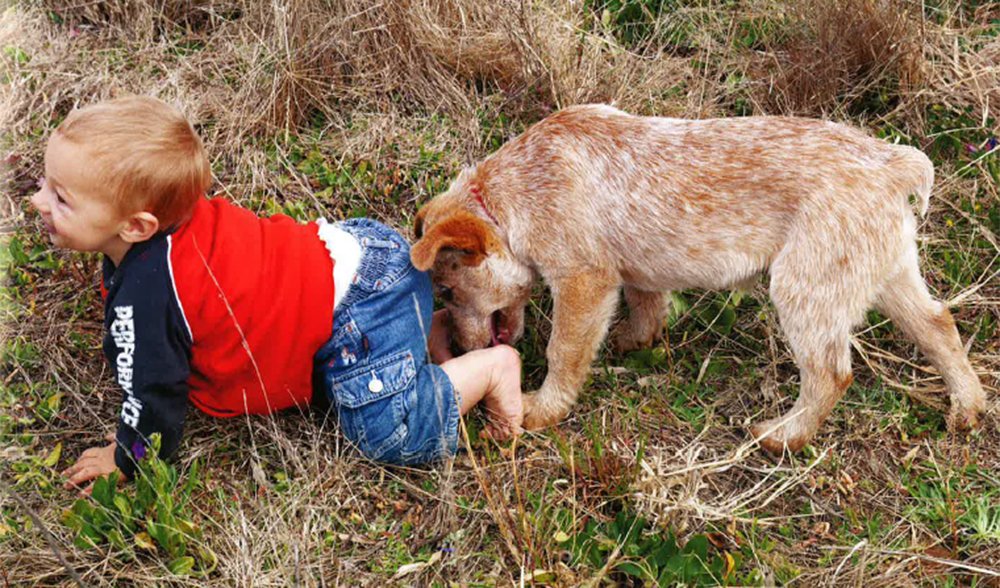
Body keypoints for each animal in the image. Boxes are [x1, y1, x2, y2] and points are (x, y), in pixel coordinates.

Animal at [408, 104, 984, 450]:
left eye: (448, 290)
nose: (458, 348)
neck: (511, 194)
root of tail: (891, 162)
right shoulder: (633, 270)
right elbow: (646, 304)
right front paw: (636, 340)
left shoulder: (583, 280)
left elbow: (563, 352)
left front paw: (541, 409)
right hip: (889, 274)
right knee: (939, 324)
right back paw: (968, 407)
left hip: (804, 288)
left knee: (830, 373)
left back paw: (782, 435)